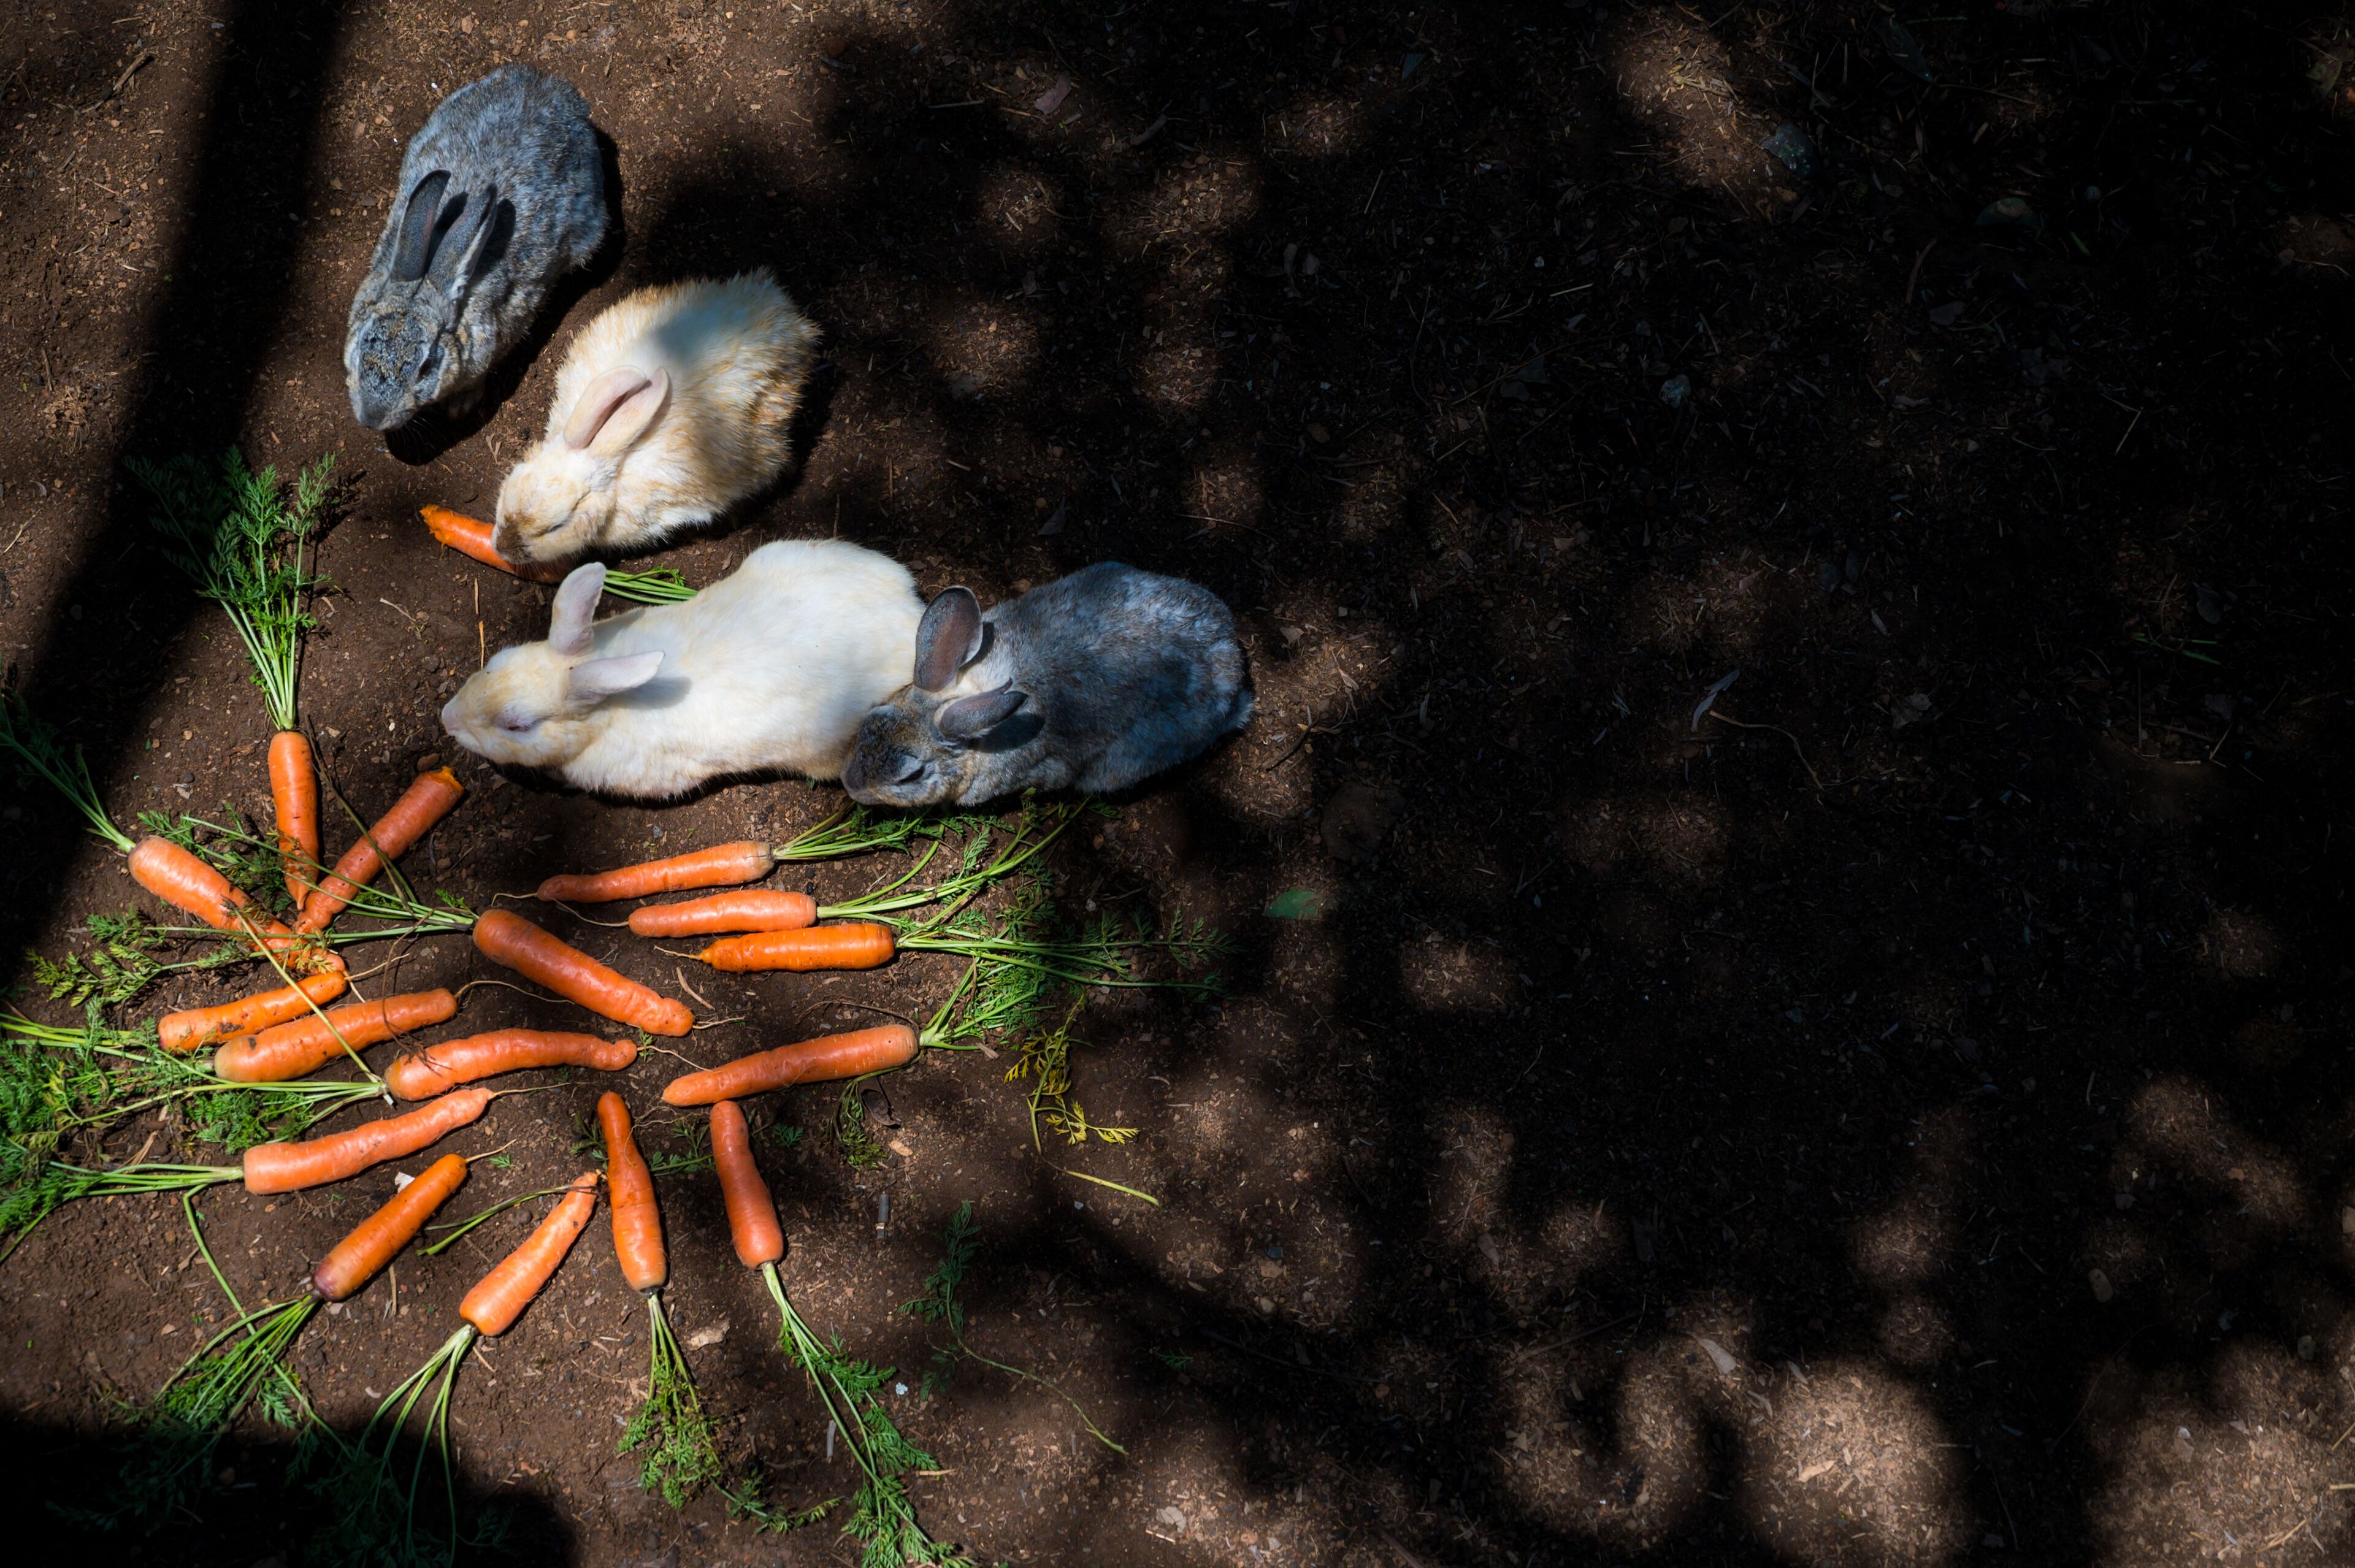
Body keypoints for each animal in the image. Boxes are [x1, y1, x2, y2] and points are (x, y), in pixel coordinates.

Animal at [344, 65, 609, 432]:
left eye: (426, 367)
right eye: (362, 349)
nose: (372, 419)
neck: (432, 279)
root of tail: (558, 92)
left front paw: (461, 406)